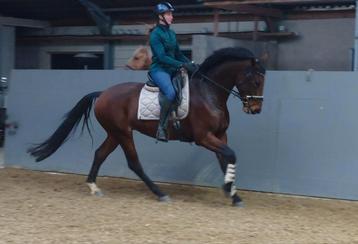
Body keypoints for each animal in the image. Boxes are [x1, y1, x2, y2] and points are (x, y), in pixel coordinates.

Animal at [28, 47, 266, 206]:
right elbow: (230, 155)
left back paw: (94, 187)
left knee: (100, 154)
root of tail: (103, 93)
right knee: (134, 163)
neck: (209, 93)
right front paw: (229, 189)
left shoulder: (220, 135)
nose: (255, 109)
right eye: (256, 81)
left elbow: (226, 160)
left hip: (114, 133)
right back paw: (160, 193)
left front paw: (233, 194)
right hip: (124, 133)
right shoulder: (204, 137)